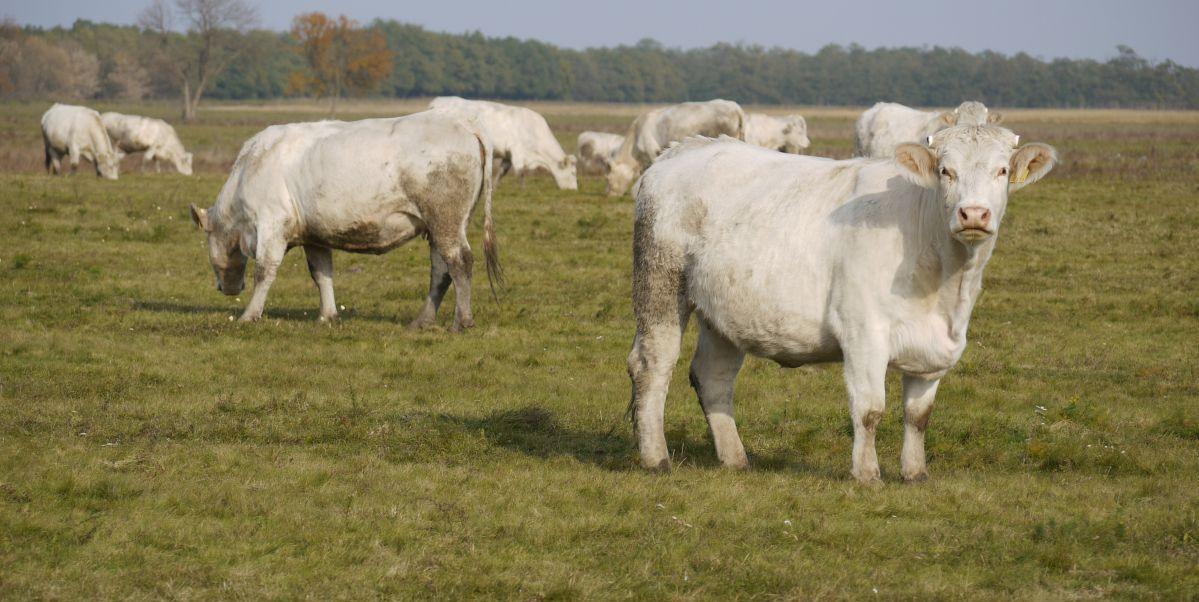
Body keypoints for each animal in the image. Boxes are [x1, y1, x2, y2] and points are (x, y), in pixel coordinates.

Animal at [189, 110, 498, 330]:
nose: (224, 288)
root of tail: (464, 126)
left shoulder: (271, 224)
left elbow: (264, 272)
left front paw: (250, 315)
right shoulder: (313, 235)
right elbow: (321, 273)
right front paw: (328, 315)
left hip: (446, 218)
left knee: (460, 262)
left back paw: (462, 321)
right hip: (440, 225)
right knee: (441, 271)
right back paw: (422, 321)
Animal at [429, 97, 577, 190]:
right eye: (573, 173)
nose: (574, 189)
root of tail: (437, 101)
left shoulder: (508, 155)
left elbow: (502, 171)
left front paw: (495, 186)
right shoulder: (517, 151)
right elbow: (520, 171)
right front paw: (523, 189)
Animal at [628, 125, 1059, 484]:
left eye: (1001, 171)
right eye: (945, 171)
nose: (973, 213)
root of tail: (682, 149)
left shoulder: (937, 346)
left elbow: (918, 416)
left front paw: (915, 473)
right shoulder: (863, 332)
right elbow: (869, 409)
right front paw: (867, 474)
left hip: (724, 311)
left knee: (713, 377)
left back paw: (735, 459)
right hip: (661, 284)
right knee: (653, 365)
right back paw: (656, 458)